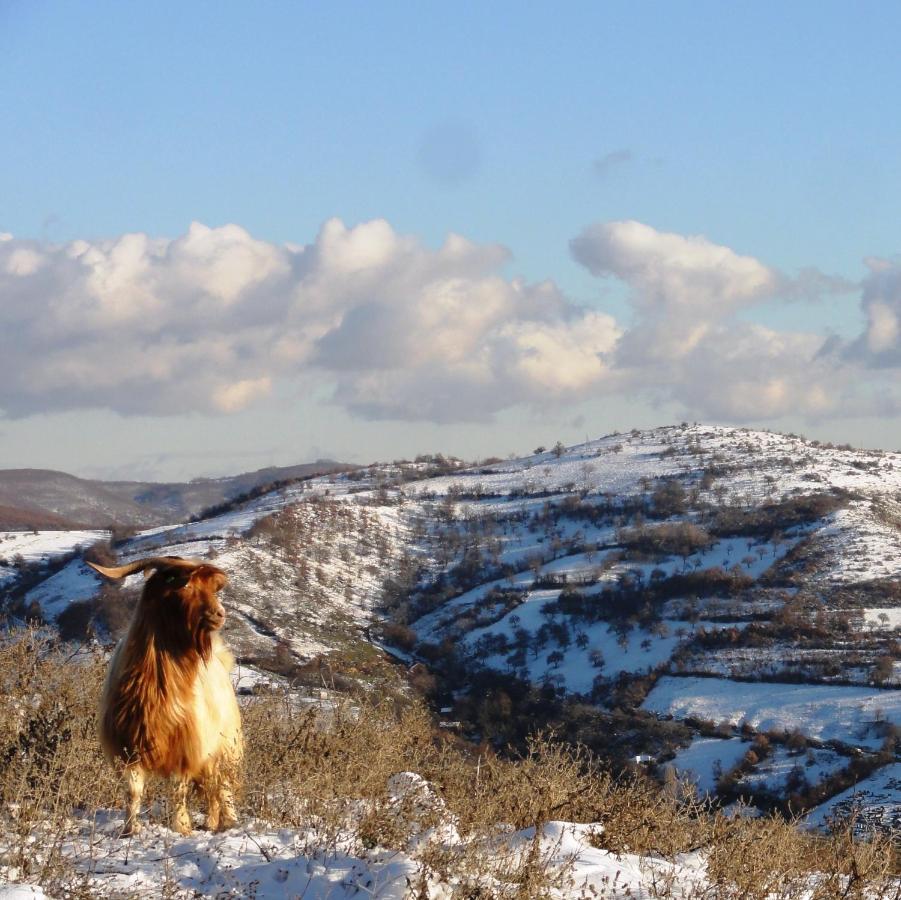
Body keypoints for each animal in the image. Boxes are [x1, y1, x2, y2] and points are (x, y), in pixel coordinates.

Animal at [87, 556, 243, 836]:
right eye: (186, 585)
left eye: (212, 588)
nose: (220, 614)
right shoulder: (129, 747)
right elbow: (133, 792)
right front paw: (130, 829)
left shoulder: (184, 747)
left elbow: (178, 791)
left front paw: (182, 827)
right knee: (211, 786)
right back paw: (212, 822)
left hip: (226, 745)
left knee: (222, 785)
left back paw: (229, 822)